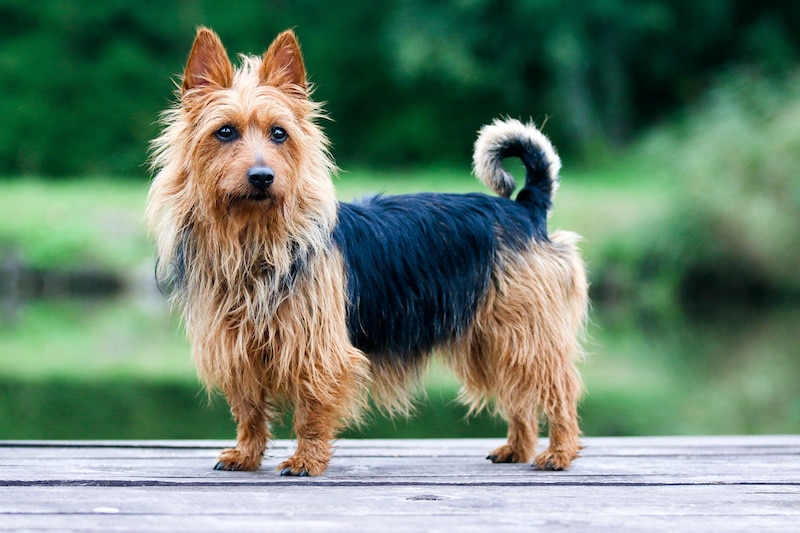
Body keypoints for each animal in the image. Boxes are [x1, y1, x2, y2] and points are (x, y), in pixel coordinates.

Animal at [148, 27, 588, 476]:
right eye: (224, 132)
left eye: (279, 134)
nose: (262, 176)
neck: (253, 238)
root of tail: (525, 207)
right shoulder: (235, 347)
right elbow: (249, 408)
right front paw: (247, 453)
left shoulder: (318, 348)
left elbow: (312, 408)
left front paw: (306, 459)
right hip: (490, 340)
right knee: (518, 393)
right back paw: (518, 447)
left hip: (525, 331)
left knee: (559, 387)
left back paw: (560, 451)